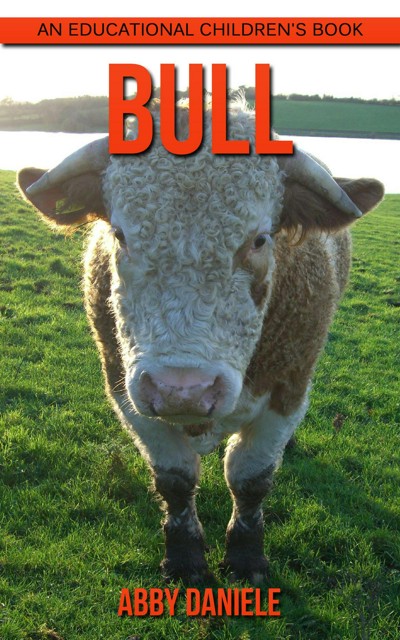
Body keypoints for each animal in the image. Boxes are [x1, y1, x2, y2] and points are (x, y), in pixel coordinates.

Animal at [17, 100, 384, 584]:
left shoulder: (288, 390)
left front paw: (246, 556)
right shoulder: (127, 393)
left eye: (260, 239)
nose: (182, 390)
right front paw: (185, 556)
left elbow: (250, 478)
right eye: (119, 234)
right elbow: (174, 480)